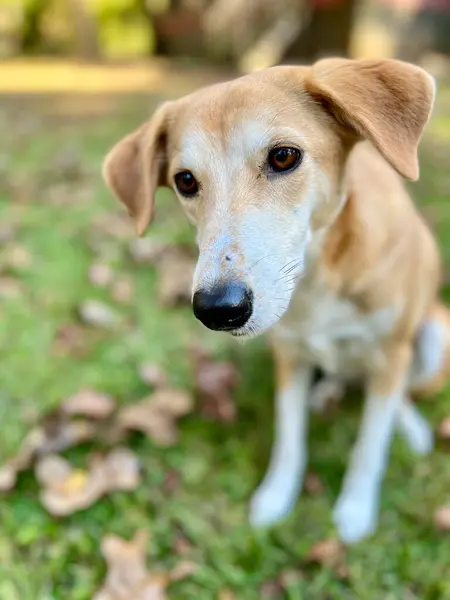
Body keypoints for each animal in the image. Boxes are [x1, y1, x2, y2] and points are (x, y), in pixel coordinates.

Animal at [102, 57, 450, 544]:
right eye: (185, 181)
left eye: (284, 156)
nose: (217, 309)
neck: (318, 276)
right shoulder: (288, 355)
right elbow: (289, 436)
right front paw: (277, 496)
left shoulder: (391, 351)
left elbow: (370, 443)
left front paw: (356, 508)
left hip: (434, 337)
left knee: (397, 394)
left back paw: (411, 427)